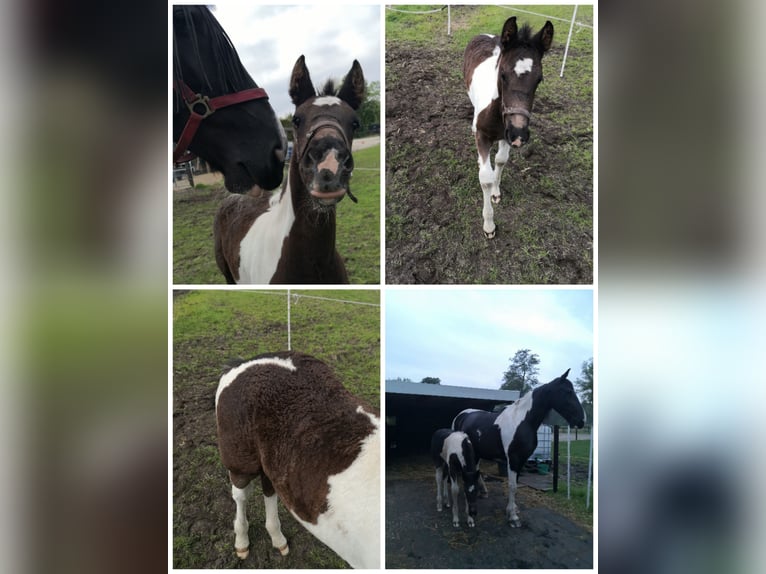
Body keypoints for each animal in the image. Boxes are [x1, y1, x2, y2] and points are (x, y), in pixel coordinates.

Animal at [214, 354, 380, 568]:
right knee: (241, 495)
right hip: (240, 461)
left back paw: (277, 538)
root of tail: (241, 364)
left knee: (269, 489)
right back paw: (242, 541)